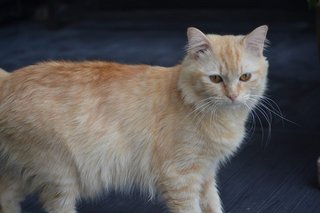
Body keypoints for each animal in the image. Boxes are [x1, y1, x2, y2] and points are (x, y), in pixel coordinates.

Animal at [0, 25, 268, 213]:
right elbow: (191, 208)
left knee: (5, 198)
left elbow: (213, 204)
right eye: (215, 79)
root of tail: (8, 77)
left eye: (244, 77)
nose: (232, 96)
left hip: (23, 172)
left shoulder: (206, 173)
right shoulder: (180, 177)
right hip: (58, 175)